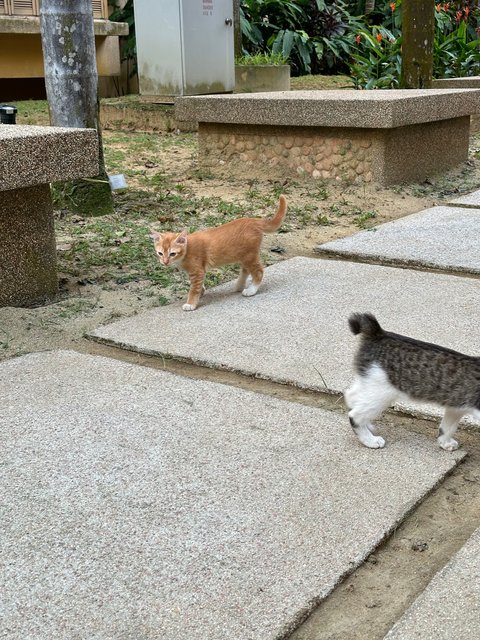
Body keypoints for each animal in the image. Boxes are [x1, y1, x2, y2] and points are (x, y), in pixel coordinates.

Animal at [152, 196, 286, 312]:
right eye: (160, 253)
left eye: (172, 253)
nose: (165, 262)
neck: (187, 250)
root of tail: (253, 220)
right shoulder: (197, 272)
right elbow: (198, 285)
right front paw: (201, 291)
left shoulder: (197, 272)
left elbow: (194, 289)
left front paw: (191, 303)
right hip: (244, 255)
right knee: (246, 270)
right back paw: (240, 285)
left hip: (250, 256)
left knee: (258, 271)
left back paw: (251, 290)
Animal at [344, 314, 480, 450]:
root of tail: (379, 333)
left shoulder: (456, 406)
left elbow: (447, 427)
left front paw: (445, 442)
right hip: (382, 393)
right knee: (355, 415)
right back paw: (370, 440)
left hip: (371, 383)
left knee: (351, 396)